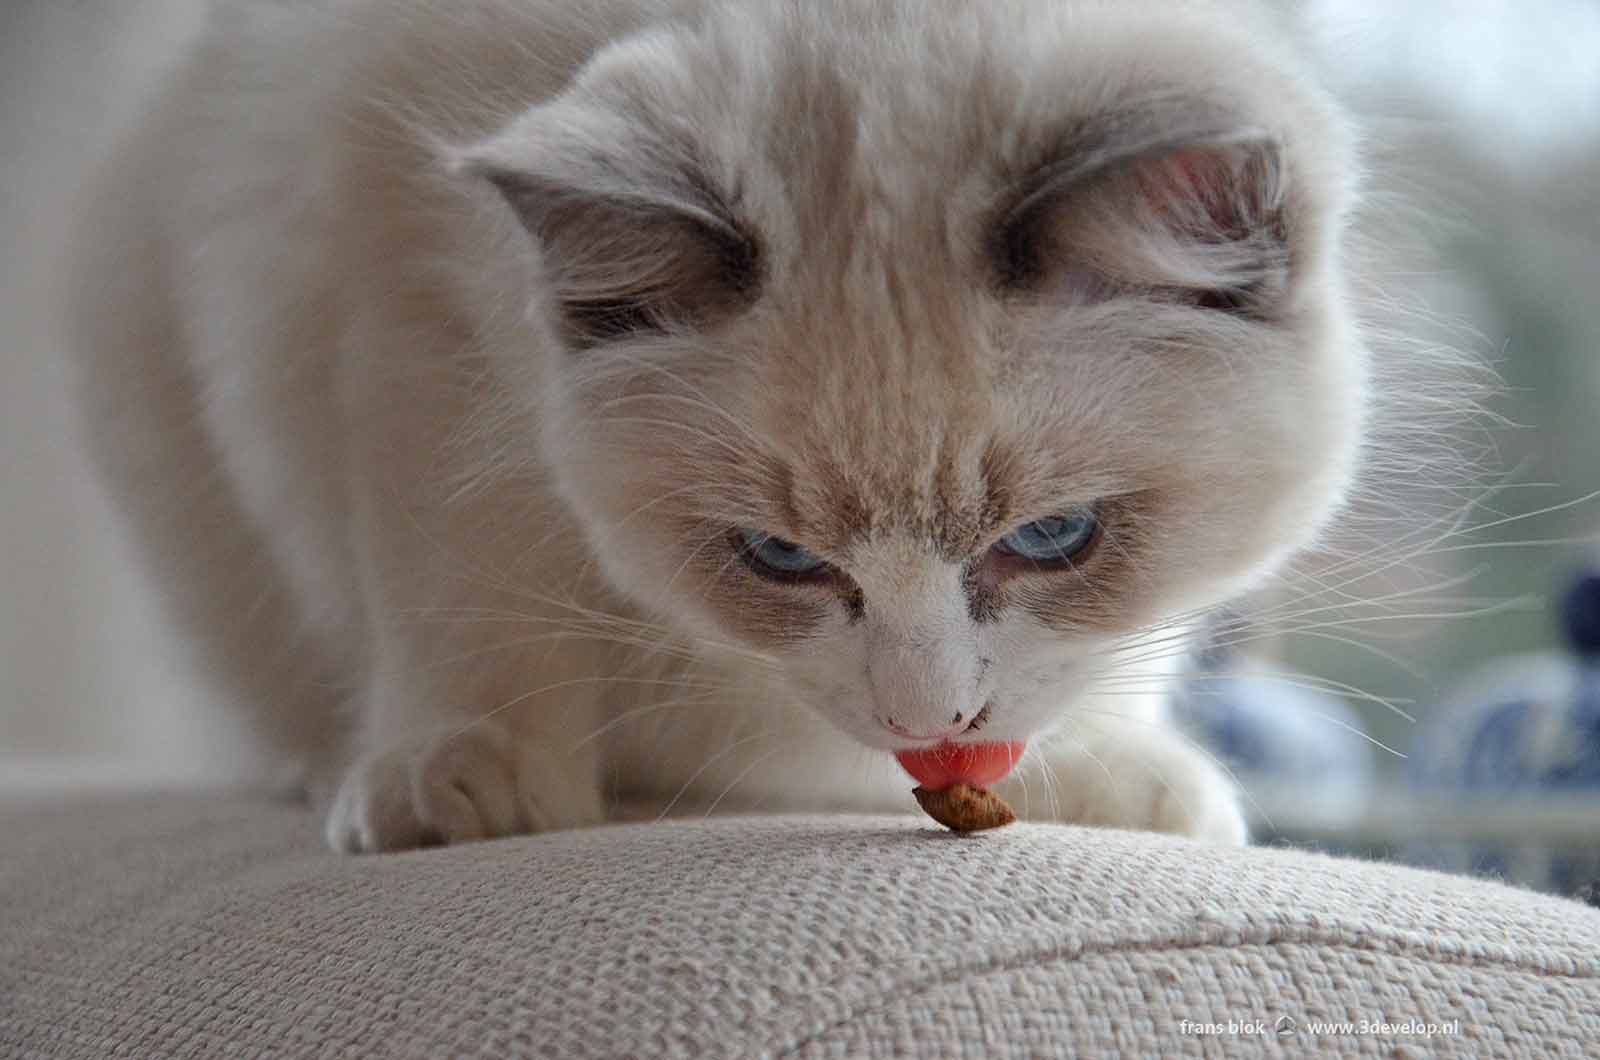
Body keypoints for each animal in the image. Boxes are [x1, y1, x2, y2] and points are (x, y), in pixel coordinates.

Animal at [62, 0, 1363, 851]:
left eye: (1055, 539)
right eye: (778, 557)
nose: (928, 723)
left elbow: (1118, 657)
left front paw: (1114, 775)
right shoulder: (413, 305)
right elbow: (468, 594)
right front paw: (463, 782)